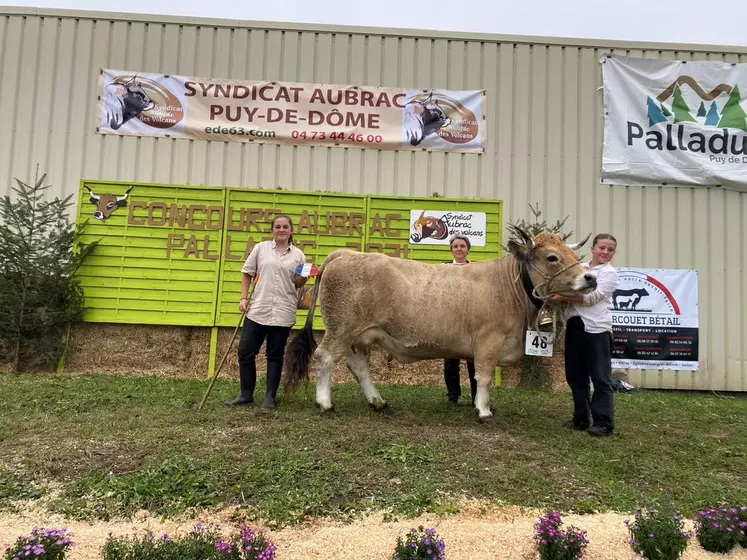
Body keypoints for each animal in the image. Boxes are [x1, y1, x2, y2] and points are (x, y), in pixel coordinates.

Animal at [284, 225, 600, 422]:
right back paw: (325, 404)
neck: (508, 288)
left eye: (575, 256)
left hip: (358, 334)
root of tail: (346, 253)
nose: (590, 278)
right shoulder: (489, 340)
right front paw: (484, 411)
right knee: (324, 357)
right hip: (341, 328)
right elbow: (484, 376)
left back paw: (378, 402)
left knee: (358, 366)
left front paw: (484, 405)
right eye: (552, 257)